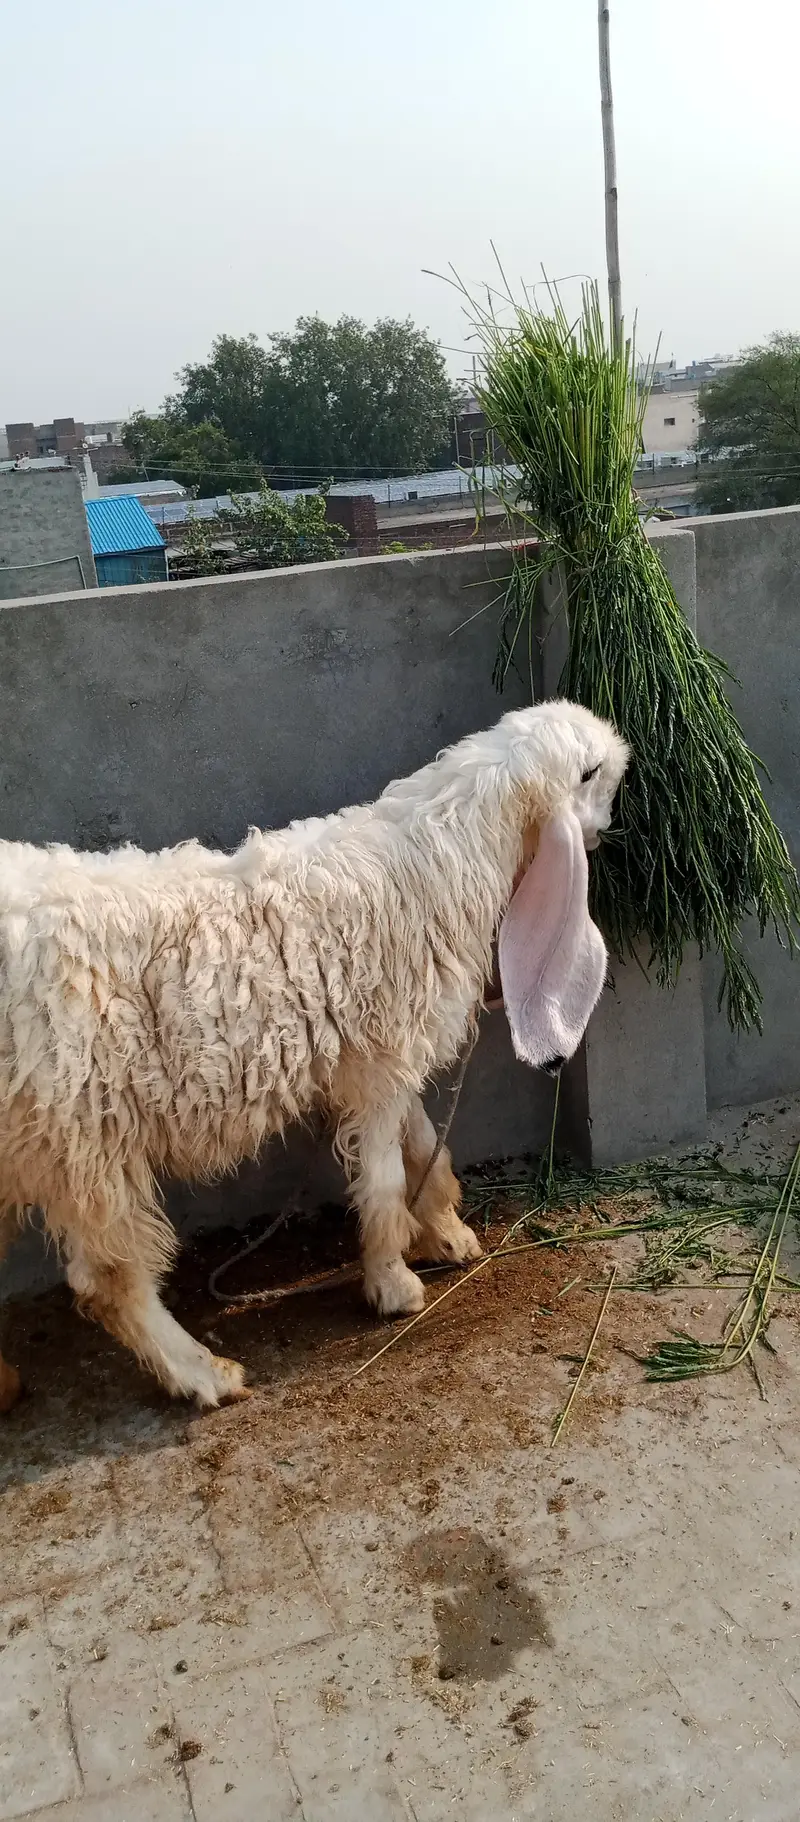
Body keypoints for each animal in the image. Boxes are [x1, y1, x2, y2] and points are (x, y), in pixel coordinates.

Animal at [0, 700, 628, 1411]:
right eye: (596, 777)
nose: (606, 832)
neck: (435, 868)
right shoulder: (379, 1060)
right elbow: (383, 1180)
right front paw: (393, 1281)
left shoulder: (382, 1056)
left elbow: (423, 1144)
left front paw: (446, 1230)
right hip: (81, 1137)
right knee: (111, 1281)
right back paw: (202, 1373)